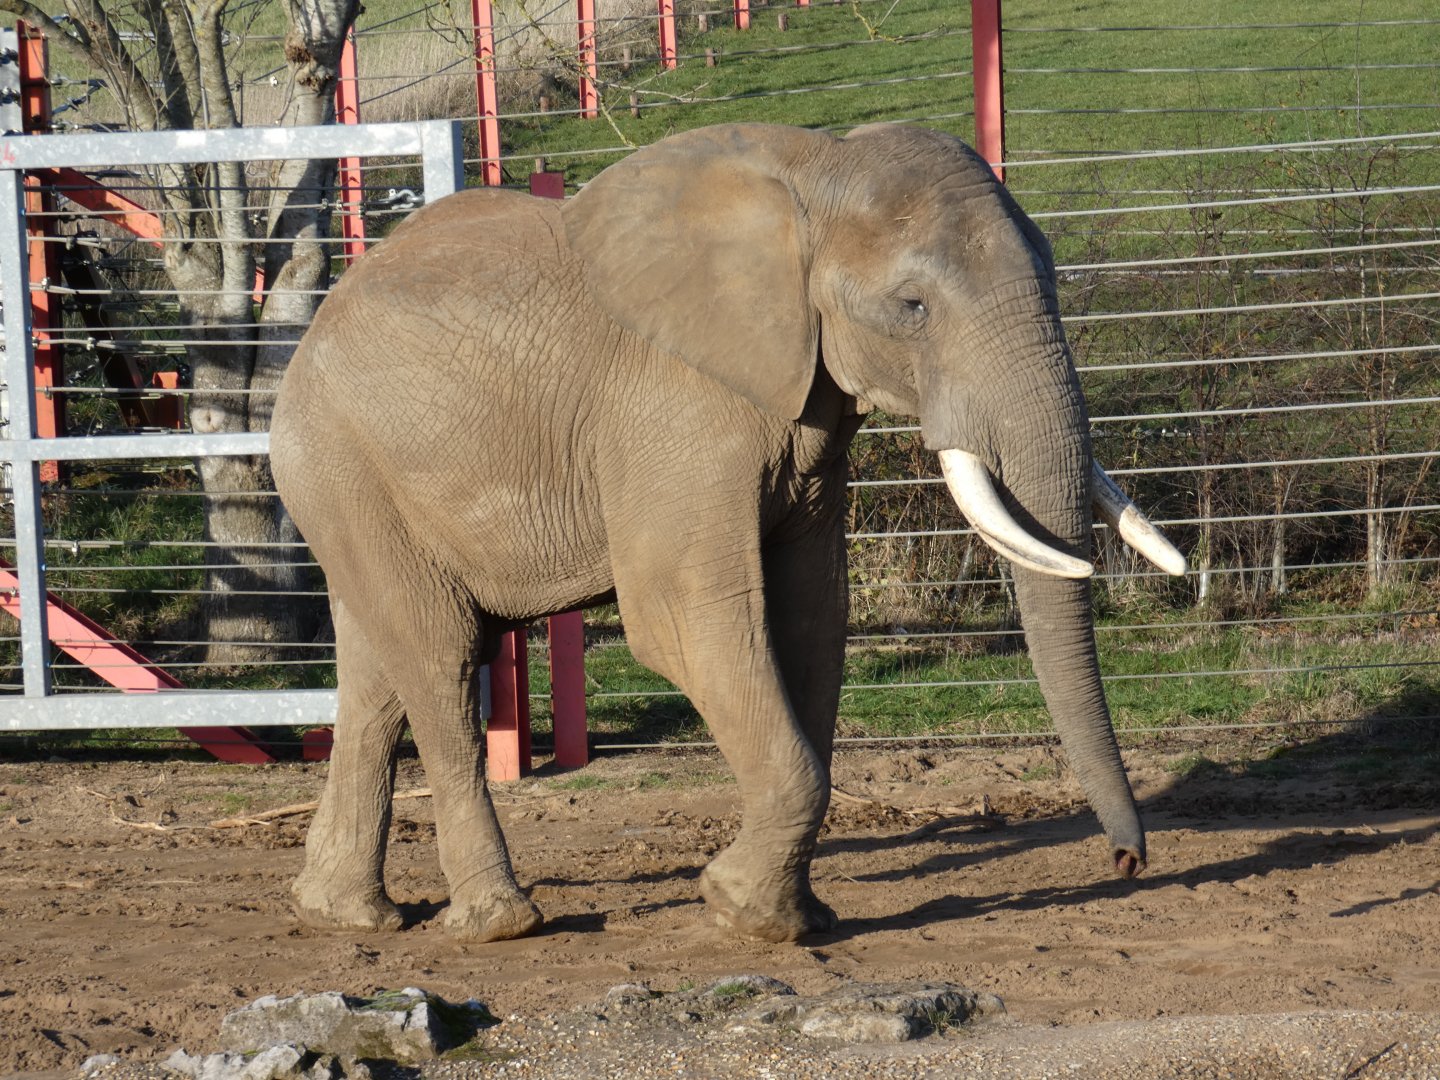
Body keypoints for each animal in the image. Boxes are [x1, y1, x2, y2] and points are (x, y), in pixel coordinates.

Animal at [269, 122, 1185, 945]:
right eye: (912, 308)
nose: (1126, 864)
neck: (815, 173)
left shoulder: (809, 408)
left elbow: (811, 617)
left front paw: (802, 917)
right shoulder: (676, 404)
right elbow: (685, 619)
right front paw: (746, 915)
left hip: (358, 483)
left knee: (378, 672)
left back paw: (344, 914)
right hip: (343, 460)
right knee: (441, 659)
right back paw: (499, 924)